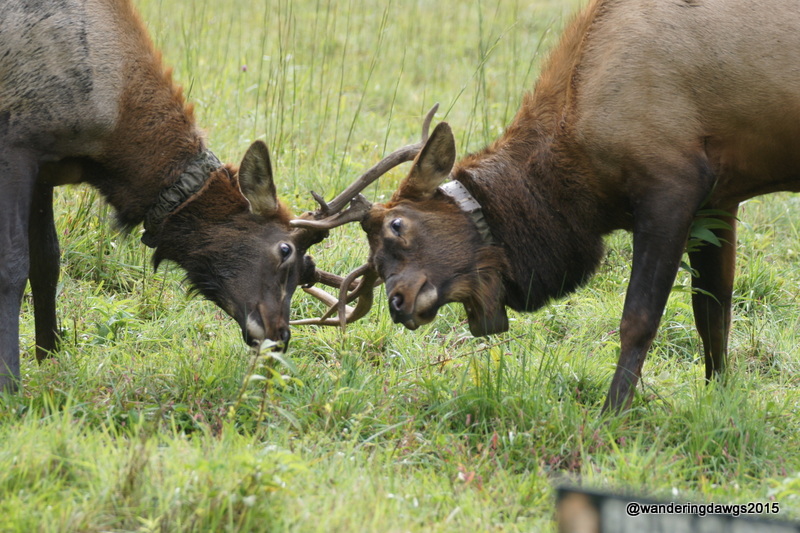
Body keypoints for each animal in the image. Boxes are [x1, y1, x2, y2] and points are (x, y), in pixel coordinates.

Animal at [0, 0, 370, 392]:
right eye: (284, 250)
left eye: (305, 274)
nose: (280, 336)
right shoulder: (16, 142)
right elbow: (13, 264)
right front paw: (10, 382)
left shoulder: (46, 167)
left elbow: (47, 261)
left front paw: (49, 355)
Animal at [291, 0, 800, 413]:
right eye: (376, 263)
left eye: (397, 225)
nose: (397, 303)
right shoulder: (720, 198)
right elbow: (712, 314)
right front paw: (720, 402)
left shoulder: (672, 183)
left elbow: (638, 319)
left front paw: (610, 415)